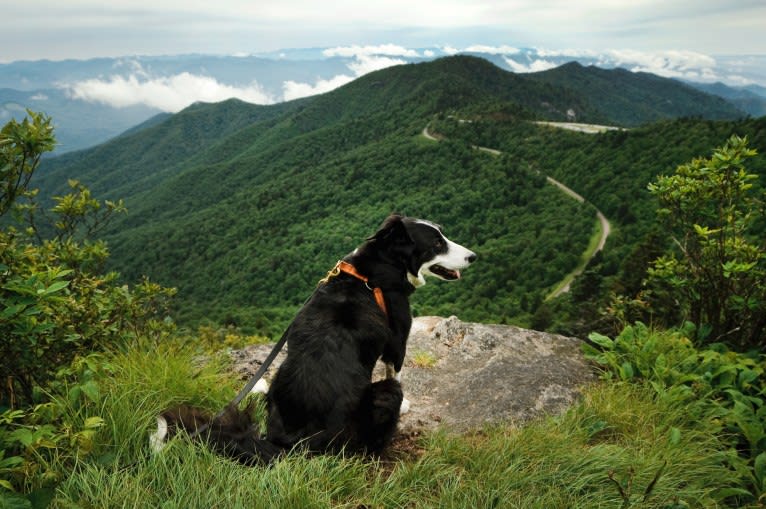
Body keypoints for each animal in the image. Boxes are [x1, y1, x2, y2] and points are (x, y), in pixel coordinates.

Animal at [153, 214, 476, 464]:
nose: (473, 256)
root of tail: (291, 445)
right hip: (379, 401)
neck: (377, 269)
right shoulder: (397, 341)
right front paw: (408, 405)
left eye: (443, 234)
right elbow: (396, 372)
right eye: (437, 243)